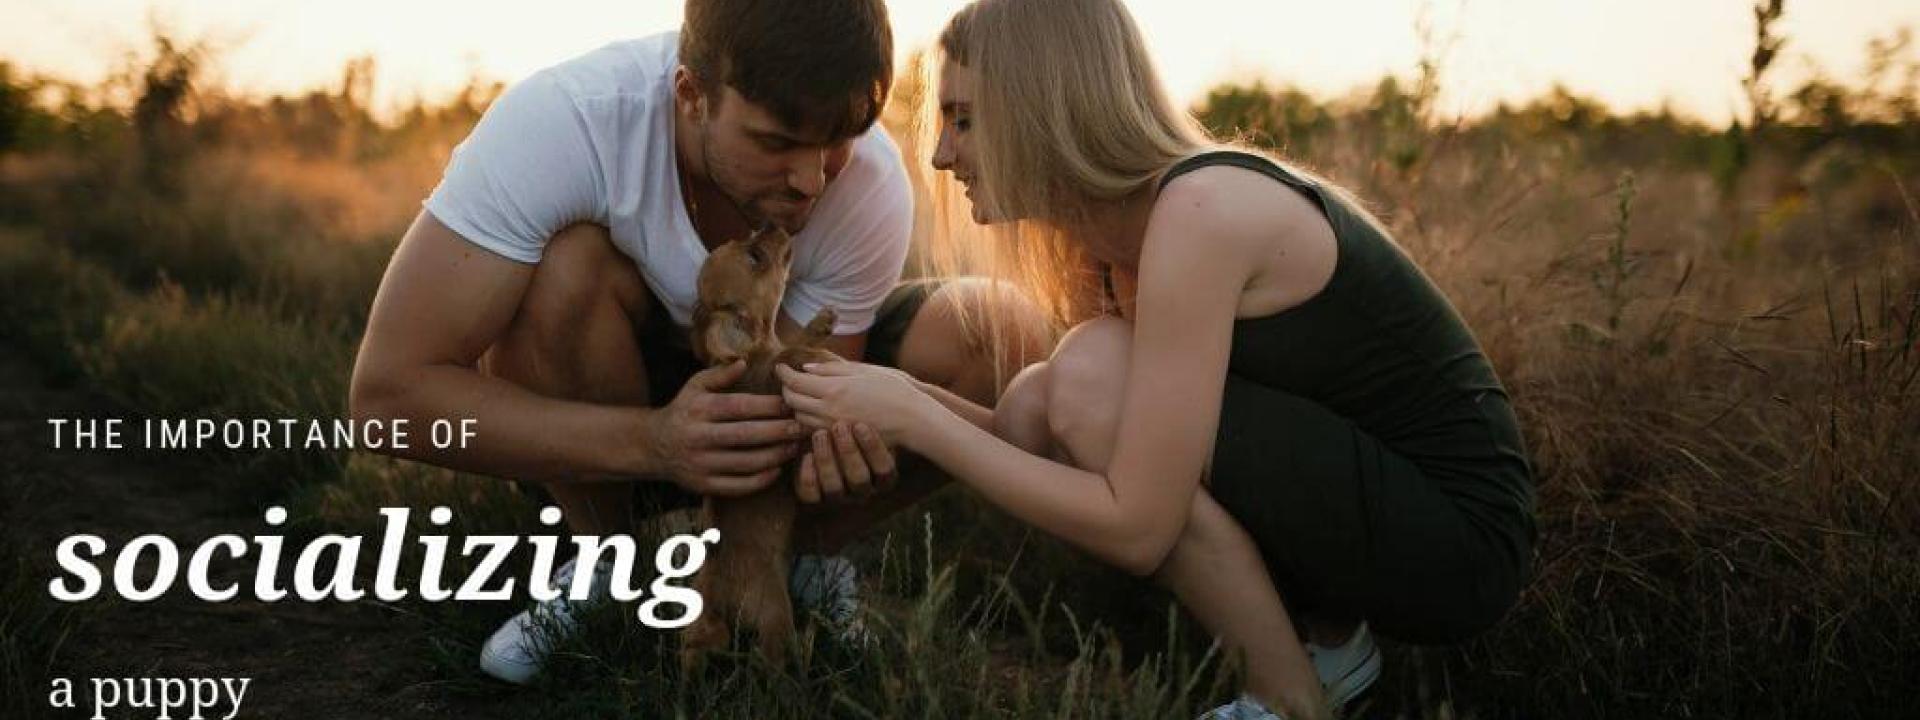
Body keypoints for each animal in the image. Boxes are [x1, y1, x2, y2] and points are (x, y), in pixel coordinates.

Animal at [687, 225, 844, 672]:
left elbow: (790, 342)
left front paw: (818, 324)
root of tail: (714, 598)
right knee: (769, 661)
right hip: (775, 613)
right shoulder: (771, 385)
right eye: (755, 257)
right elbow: (786, 357)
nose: (770, 224)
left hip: (696, 634)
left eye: (750, 239)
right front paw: (812, 348)